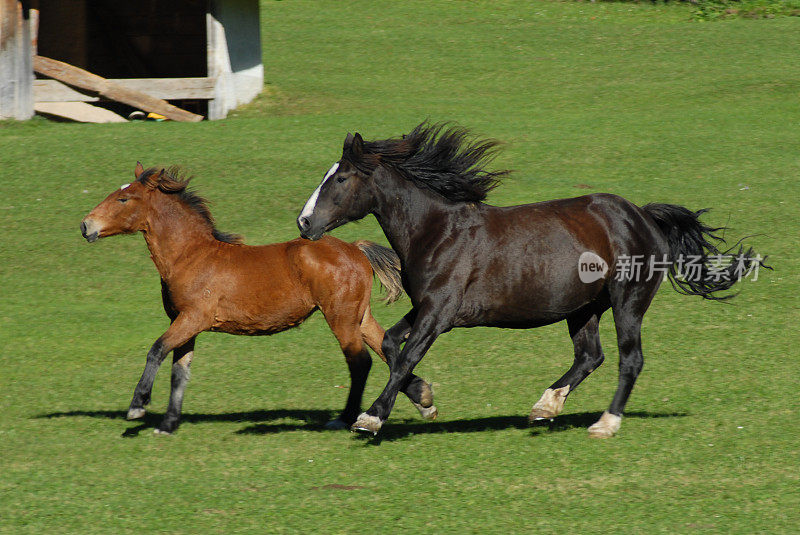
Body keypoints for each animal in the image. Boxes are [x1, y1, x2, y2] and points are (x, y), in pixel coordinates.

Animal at [79, 163, 438, 436]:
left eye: (124, 198)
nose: (85, 226)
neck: (191, 257)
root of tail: (355, 248)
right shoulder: (184, 323)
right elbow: (179, 372)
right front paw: (168, 424)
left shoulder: (193, 318)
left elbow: (156, 350)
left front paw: (137, 407)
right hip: (358, 316)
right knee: (385, 347)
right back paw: (422, 399)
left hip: (340, 317)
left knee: (360, 361)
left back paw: (346, 418)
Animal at [296, 122, 764, 440]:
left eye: (340, 178)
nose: (303, 223)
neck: (437, 231)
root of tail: (643, 216)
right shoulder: (427, 307)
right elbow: (392, 344)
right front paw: (426, 400)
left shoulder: (440, 313)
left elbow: (406, 355)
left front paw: (371, 418)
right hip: (584, 308)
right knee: (590, 356)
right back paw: (545, 407)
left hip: (628, 300)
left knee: (630, 359)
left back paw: (605, 423)